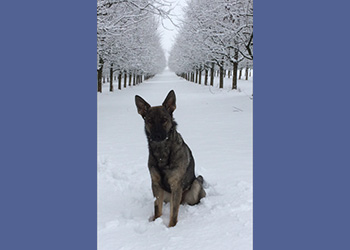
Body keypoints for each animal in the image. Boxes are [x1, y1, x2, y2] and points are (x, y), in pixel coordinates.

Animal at [134, 89, 205, 227]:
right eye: (150, 121)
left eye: (164, 120)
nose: (157, 136)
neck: (162, 152)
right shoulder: (156, 184)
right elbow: (157, 208)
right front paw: (155, 221)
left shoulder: (176, 185)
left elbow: (174, 213)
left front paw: (171, 227)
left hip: (194, 187)